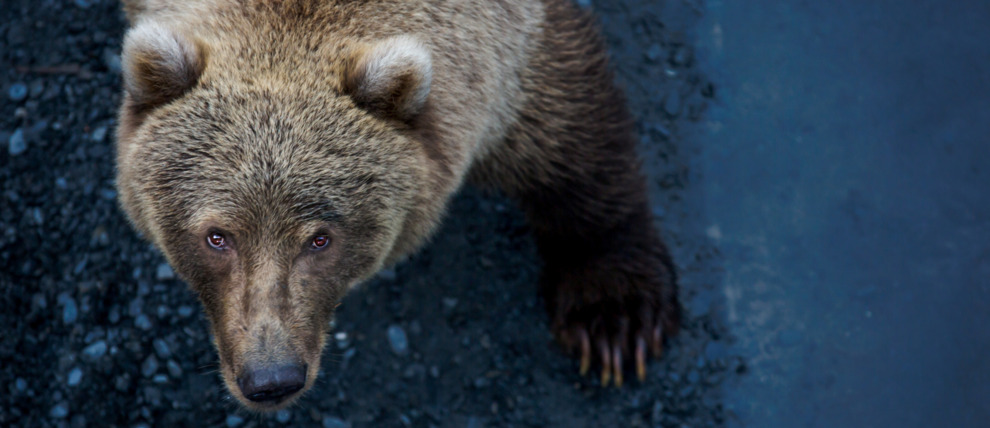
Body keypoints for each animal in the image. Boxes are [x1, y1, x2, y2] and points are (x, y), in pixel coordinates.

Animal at [115, 0, 679, 411]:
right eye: (217, 236)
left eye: (320, 238)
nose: (271, 378)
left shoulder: (510, 54)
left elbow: (570, 136)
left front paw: (614, 319)